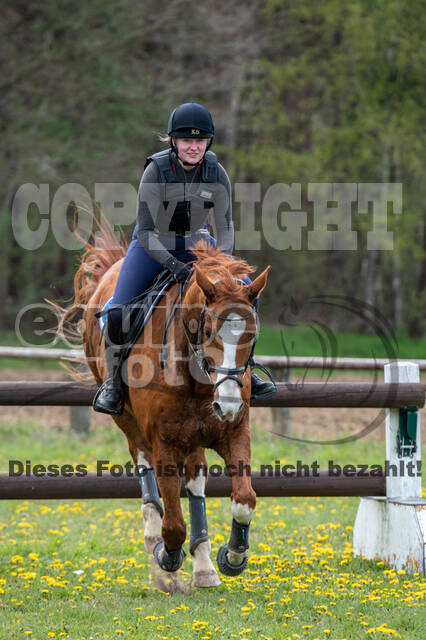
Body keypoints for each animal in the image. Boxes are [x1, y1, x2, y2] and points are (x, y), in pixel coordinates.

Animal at [62, 225, 268, 592]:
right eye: (208, 330)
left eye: (252, 333)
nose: (227, 403)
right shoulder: (165, 442)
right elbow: (173, 524)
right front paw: (166, 555)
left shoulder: (233, 431)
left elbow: (245, 499)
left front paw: (233, 556)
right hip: (129, 422)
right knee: (144, 468)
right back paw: (154, 540)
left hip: (196, 436)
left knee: (196, 481)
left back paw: (204, 567)